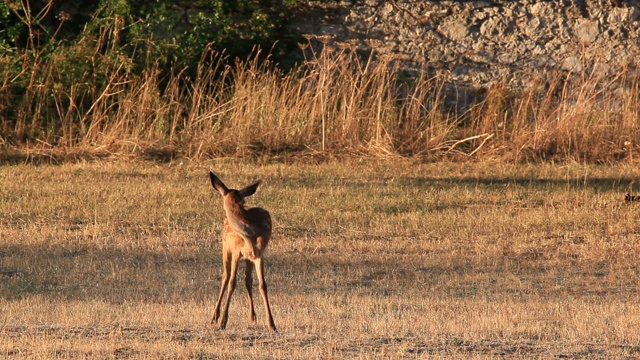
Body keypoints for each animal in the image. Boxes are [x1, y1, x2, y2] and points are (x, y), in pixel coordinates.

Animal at [209, 172, 276, 332]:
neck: (250, 235)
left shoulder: (259, 254)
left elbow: (262, 285)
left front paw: (271, 323)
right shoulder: (236, 252)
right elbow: (232, 283)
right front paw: (223, 322)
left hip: (248, 257)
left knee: (247, 279)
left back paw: (252, 317)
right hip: (225, 247)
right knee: (225, 277)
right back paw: (214, 317)